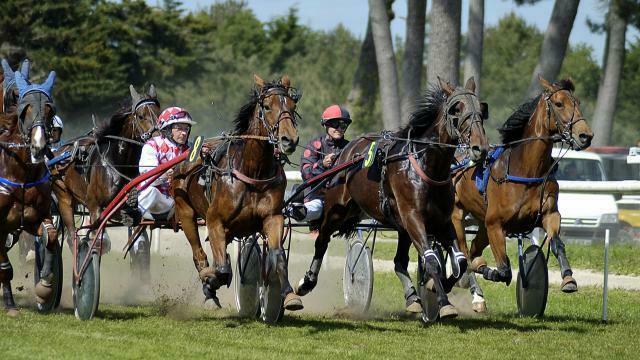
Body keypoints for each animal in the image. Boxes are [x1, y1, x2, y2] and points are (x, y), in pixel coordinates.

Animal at [51, 84, 159, 253]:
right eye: (141, 116)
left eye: (159, 112)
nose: (158, 136)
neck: (119, 162)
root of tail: (58, 152)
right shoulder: (94, 205)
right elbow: (99, 239)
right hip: (64, 197)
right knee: (71, 236)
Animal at [172, 75, 302, 312]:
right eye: (267, 106)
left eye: (292, 106)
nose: (289, 139)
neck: (253, 172)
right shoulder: (215, 220)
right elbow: (221, 269)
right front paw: (210, 279)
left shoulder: (273, 216)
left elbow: (277, 255)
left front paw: (290, 295)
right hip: (184, 211)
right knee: (199, 253)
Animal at [296, 77, 490, 320]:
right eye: (456, 109)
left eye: (481, 109)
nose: (480, 148)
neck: (427, 165)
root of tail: (347, 152)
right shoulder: (414, 217)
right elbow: (431, 260)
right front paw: (444, 303)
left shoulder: (441, 220)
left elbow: (461, 262)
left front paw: (436, 287)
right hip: (337, 209)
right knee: (321, 241)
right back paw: (306, 282)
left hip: (399, 225)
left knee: (399, 262)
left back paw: (413, 297)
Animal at [450, 76, 596, 312]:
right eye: (559, 104)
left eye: (578, 102)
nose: (585, 136)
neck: (526, 170)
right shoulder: (495, 224)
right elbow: (503, 270)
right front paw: (485, 270)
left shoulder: (549, 214)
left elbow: (557, 243)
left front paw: (568, 278)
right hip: (457, 218)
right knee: (464, 252)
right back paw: (476, 294)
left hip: (482, 224)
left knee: (472, 250)